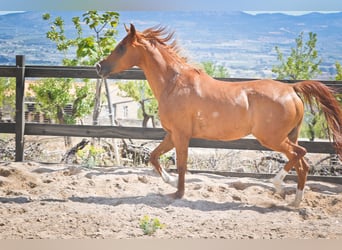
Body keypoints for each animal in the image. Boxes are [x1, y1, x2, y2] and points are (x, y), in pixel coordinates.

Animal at [97, 23, 342, 207]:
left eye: (121, 47)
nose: (99, 67)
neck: (174, 84)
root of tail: (291, 89)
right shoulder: (171, 134)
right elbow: (154, 157)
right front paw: (170, 183)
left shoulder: (181, 135)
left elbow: (182, 164)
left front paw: (178, 193)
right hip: (289, 136)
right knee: (302, 164)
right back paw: (294, 202)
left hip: (272, 138)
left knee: (300, 154)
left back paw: (278, 185)